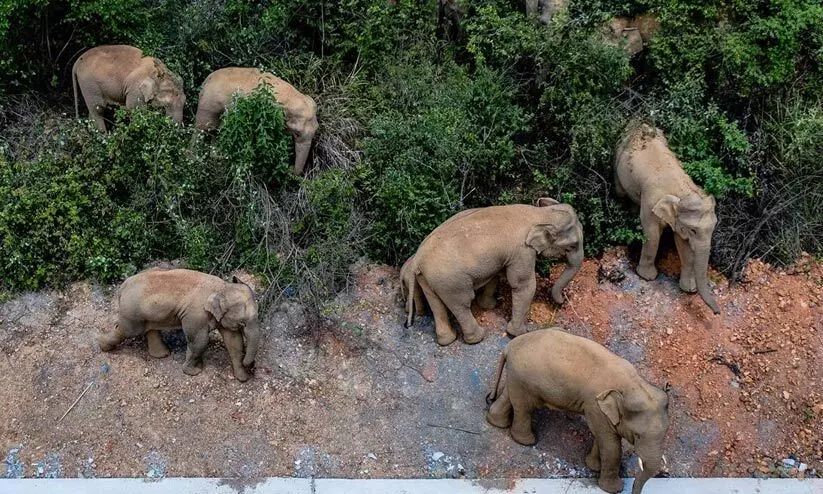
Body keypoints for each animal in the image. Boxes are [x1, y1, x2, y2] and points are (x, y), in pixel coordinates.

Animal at [99, 269, 260, 382]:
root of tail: (122, 287)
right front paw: (194, 372)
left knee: (149, 329)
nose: (252, 366)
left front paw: (242, 378)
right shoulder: (195, 315)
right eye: (243, 322)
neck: (222, 286)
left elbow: (234, 341)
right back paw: (104, 347)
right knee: (127, 330)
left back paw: (162, 355)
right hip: (132, 312)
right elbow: (200, 341)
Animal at [402, 198, 584, 345]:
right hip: (451, 281)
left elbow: (495, 275)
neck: (539, 214)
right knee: (462, 303)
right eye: (572, 246)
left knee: (436, 304)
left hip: (429, 278)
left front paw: (489, 305)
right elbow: (523, 285)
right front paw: (519, 333)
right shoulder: (522, 251)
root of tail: (418, 258)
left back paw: (447, 340)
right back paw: (478, 338)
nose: (562, 302)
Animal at [486, 328, 669, 494]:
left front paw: (593, 466)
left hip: (517, 377)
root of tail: (510, 346)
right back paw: (527, 441)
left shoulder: (598, 410)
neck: (634, 384)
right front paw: (614, 489)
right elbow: (611, 446)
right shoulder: (595, 405)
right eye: (637, 436)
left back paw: (496, 422)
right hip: (525, 379)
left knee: (509, 396)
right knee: (524, 408)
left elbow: (600, 437)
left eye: (665, 434)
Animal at [614, 122, 720, 314]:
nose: (717, 312)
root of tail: (637, 123)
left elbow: (683, 244)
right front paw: (647, 277)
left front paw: (689, 289)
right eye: (693, 230)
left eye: (713, 227)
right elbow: (652, 234)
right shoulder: (650, 202)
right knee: (620, 193)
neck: (682, 191)